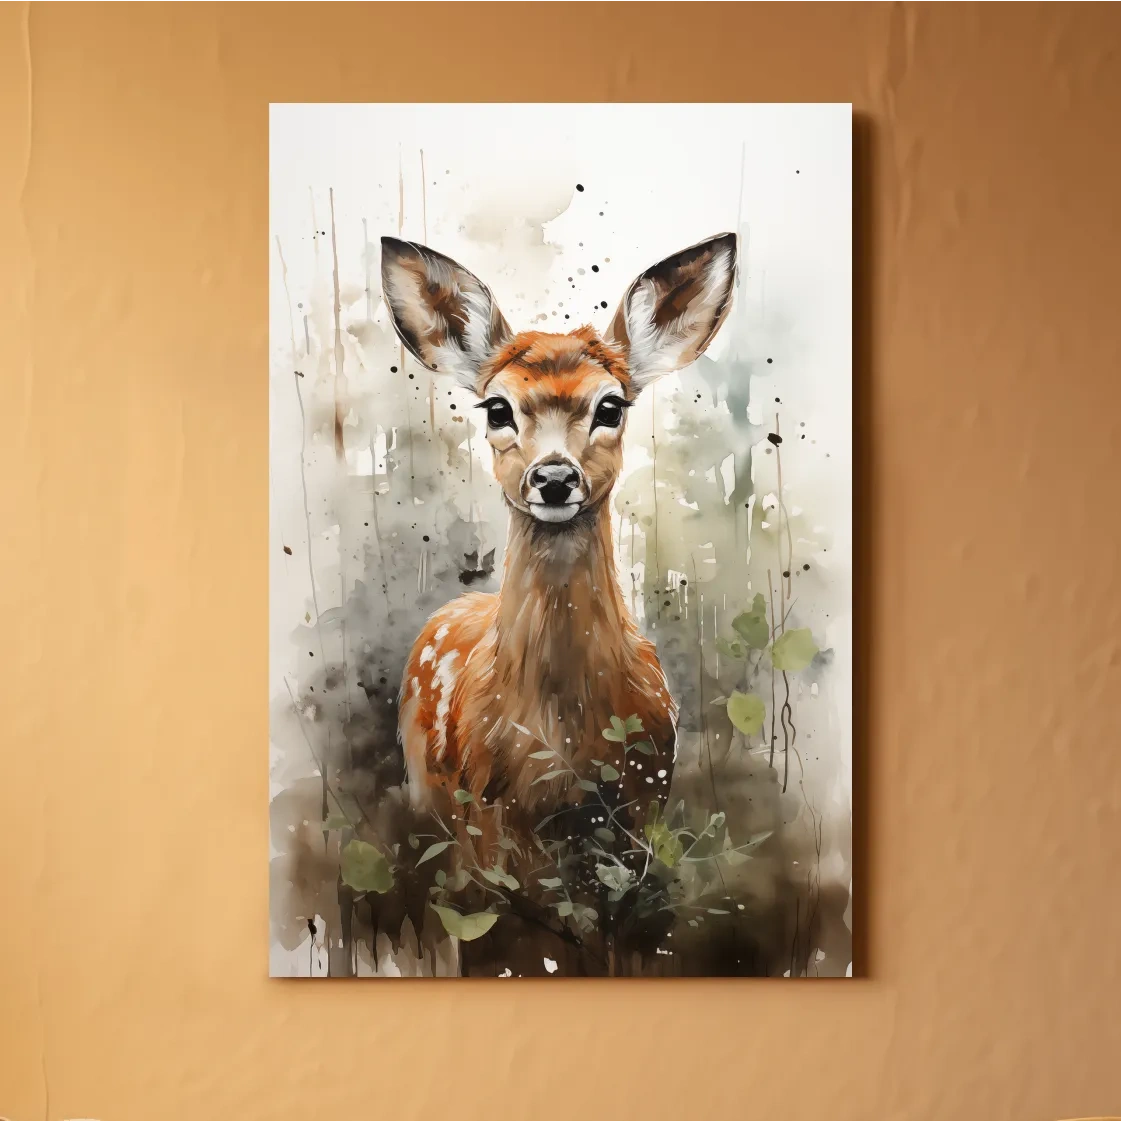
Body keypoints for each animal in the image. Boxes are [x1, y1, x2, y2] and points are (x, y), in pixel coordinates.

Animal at [381, 231, 737, 835]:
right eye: (496, 407)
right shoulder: (488, 811)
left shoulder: (648, 794)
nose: (553, 478)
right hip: (428, 792)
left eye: (611, 405)